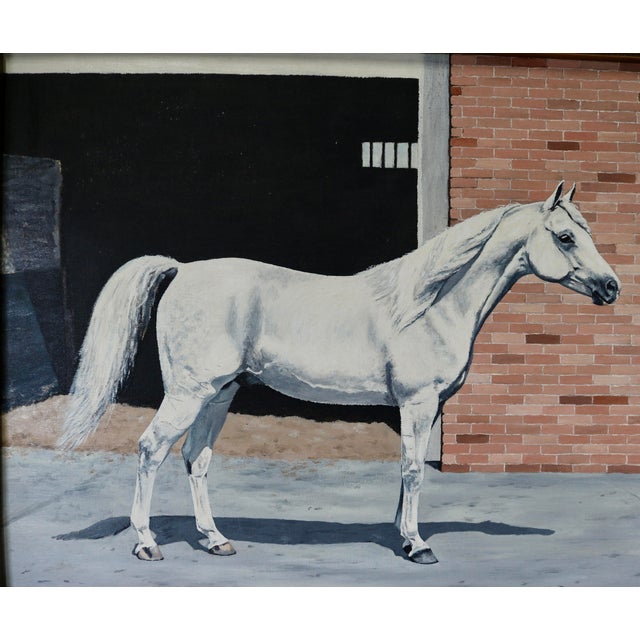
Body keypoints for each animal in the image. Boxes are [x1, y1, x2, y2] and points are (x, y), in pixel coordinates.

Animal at [59, 182, 620, 564]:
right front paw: (417, 545)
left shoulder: (424, 407)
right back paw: (147, 543)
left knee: (196, 458)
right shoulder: (418, 402)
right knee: (151, 449)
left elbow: (406, 470)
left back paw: (216, 540)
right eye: (565, 237)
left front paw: (401, 534)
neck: (431, 304)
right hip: (189, 393)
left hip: (217, 395)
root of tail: (183, 269)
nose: (611, 287)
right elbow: (414, 470)